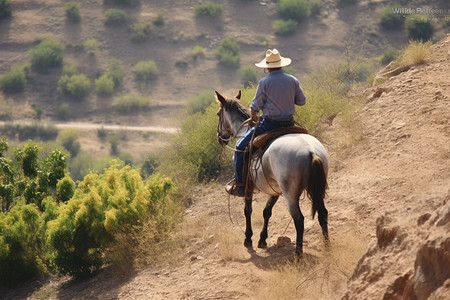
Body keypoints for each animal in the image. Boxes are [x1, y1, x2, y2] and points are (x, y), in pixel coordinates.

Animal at [214, 90, 330, 256]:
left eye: (218, 114)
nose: (220, 138)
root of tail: (311, 152)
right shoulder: (274, 189)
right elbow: (266, 211)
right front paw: (262, 239)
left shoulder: (248, 186)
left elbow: (247, 210)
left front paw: (248, 238)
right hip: (316, 189)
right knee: (323, 214)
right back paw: (327, 247)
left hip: (290, 195)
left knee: (299, 220)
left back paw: (298, 254)